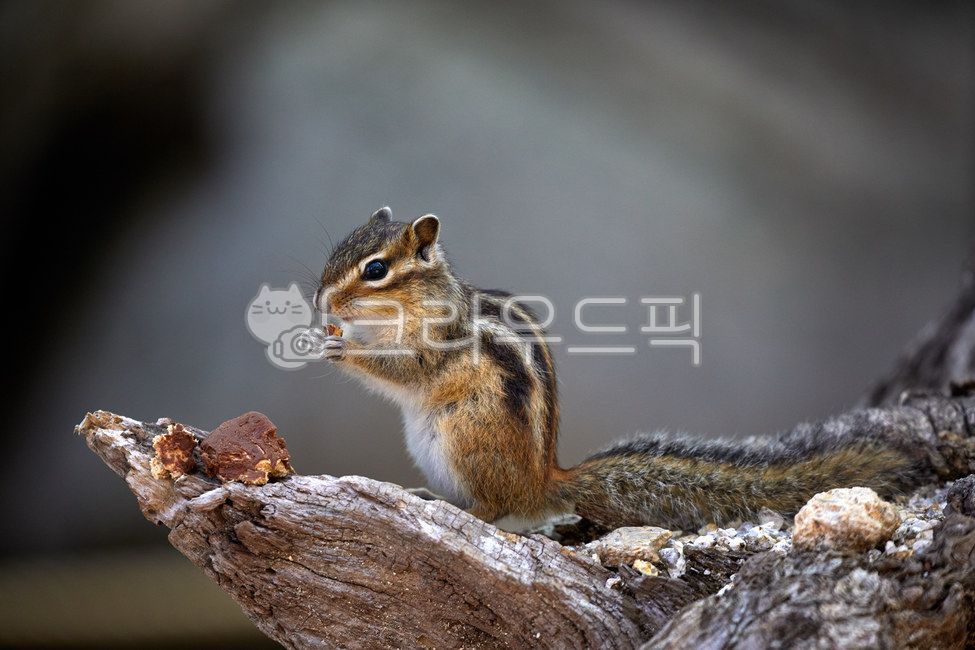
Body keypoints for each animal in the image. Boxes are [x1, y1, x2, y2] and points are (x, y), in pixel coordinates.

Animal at [314, 207, 925, 530]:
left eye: (375, 270)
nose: (320, 301)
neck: (417, 302)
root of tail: (544, 482)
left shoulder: (436, 346)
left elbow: (406, 371)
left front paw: (339, 348)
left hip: (463, 436)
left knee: (495, 510)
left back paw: (447, 503)